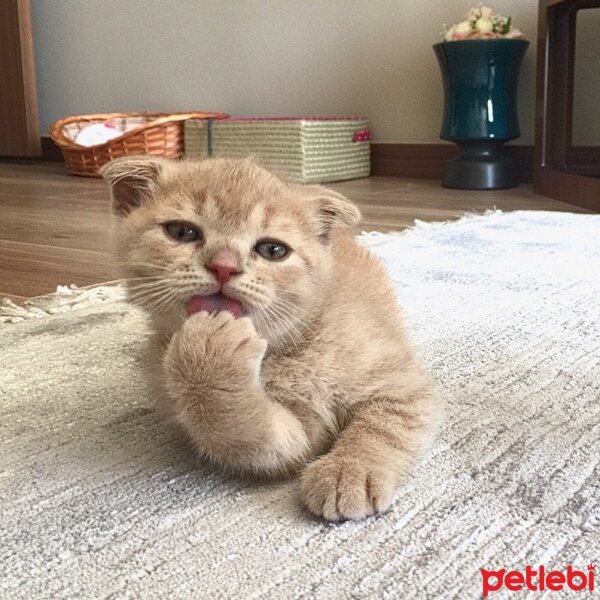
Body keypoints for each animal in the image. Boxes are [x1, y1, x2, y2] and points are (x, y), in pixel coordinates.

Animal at [102, 155, 440, 520]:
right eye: (181, 232)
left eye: (273, 250)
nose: (224, 266)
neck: (285, 353)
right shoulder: (290, 440)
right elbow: (241, 431)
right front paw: (209, 358)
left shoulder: (401, 384)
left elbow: (380, 426)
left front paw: (349, 470)